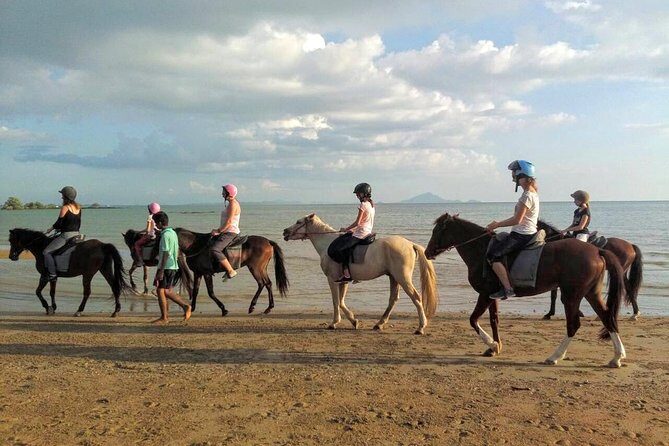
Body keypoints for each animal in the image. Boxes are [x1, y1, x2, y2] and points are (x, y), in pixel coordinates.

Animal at [282, 214, 438, 334]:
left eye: (298, 222)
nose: (284, 232)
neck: (326, 244)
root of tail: (410, 244)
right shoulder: (343, 281)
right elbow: (341, 301)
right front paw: (354, 321)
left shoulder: (331, 279)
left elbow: (336, 301)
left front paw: (334, 323)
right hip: (394, 277)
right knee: (393, 299)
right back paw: (379, 324)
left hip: (402, 278)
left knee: (416, 298)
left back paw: (420, 327)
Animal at [424, 213, 628, 367]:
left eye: (437, 231)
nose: (427, 252)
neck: (481, 251)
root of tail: (596, 251)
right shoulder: (491, 295)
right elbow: (493, 320)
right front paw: (494, 347)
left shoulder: (484, 295)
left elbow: (473, 320)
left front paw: (491, 344)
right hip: (591, 293)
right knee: (607, 317)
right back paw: (617, 357)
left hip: (571, 296)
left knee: (573, 325)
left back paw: (555, 356)